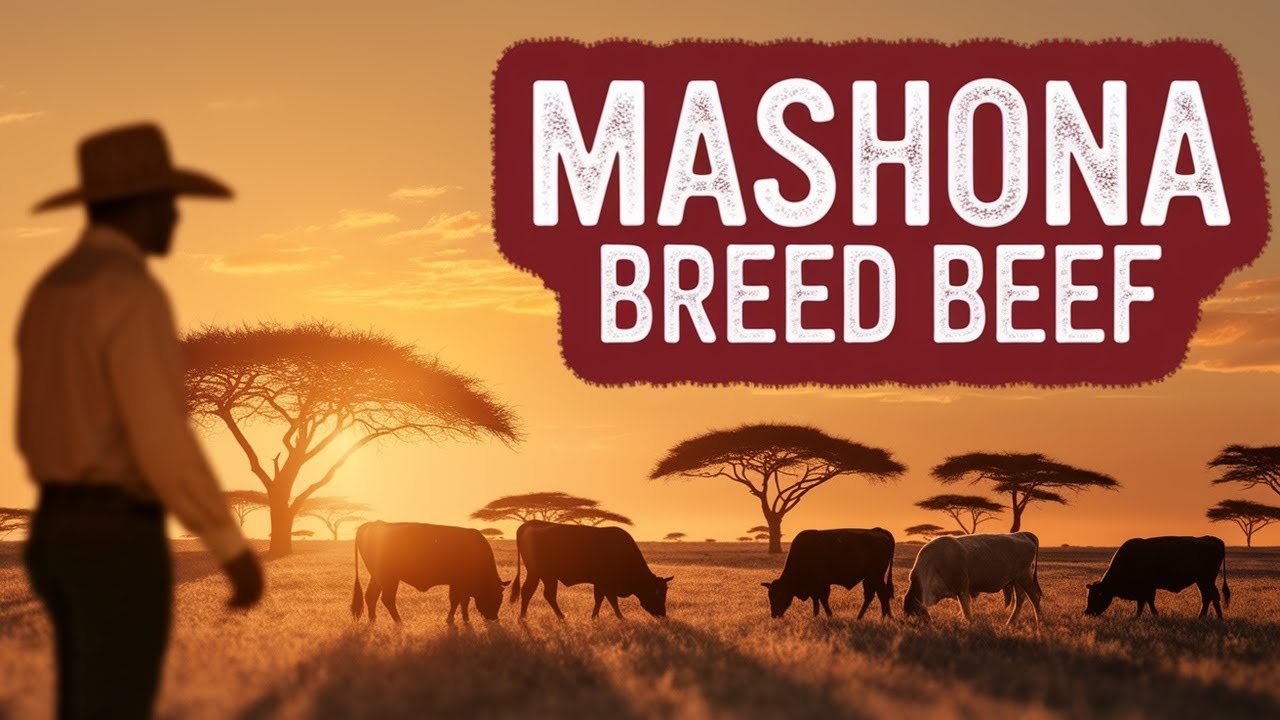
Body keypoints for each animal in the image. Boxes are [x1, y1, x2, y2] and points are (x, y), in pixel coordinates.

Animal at [350, 521, 510, 624]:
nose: (494, 618)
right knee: (387, 598)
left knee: (371, 596)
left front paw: (465, 619)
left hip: (377, 577)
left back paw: (373, 621)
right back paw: (400, 623)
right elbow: (456, 600)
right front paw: (450, 620)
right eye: (494, 597)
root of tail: (373, 524)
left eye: (501, 597)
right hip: (390, 578)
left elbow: (463, 601)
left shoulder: (459, 585)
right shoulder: (458, 583)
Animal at [510, 520, 673, 620]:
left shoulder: (599, 583)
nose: (662, 613)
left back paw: (527, 617)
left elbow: (599, 599)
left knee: (537, 593)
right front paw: (621, 617)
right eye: (657, 593)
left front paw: (595, 617)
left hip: (543, 576)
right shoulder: (606, 583)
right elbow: (611, 600)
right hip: (541, 574)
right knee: (537, 593)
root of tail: (530, 523)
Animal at [760, 528, 895, 619]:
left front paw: (829, 615)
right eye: (770, 596)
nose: (774, 614)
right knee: (874, 595)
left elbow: (823, 599)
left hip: (876, 577)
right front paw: (815, 615)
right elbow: (816, 601)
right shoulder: (814, 587)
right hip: (871, 579)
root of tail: (879, 531)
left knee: (881, 594)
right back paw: (872, 617)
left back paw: (884, 617)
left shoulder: (822, 584)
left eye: (778, 595)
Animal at [903, 531, 1043, 624]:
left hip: (1024, 578)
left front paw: (968, 623)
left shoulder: (962, 588)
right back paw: (1010, 623)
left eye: (915, 613)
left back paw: (1039, 622)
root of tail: (1021, 534)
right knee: (1020, 599)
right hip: (1016, 581)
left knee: (1034, 598)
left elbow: (965, 608)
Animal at [1084, 535, 1230, 618]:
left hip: (1205, 580)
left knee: (1210, 597)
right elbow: (1145, 603)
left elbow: (1146, 602)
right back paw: (1211, 617)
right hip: (1203, 581)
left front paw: (1144, 616)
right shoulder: (1145, 590)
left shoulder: (1147, 588)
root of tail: (1212, 539)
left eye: (1096, 596)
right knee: (1210, 597)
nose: (1087, 612)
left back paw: (1207, 617)